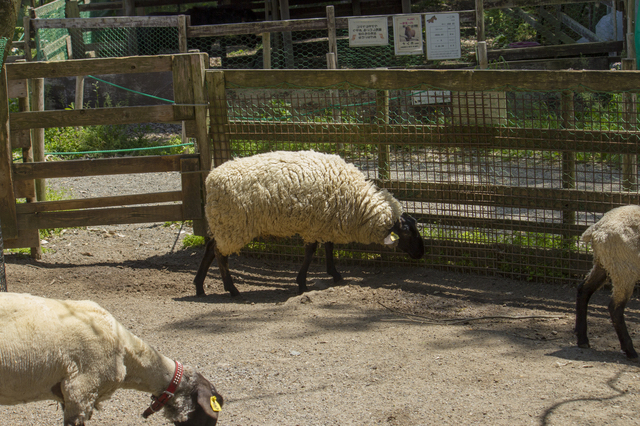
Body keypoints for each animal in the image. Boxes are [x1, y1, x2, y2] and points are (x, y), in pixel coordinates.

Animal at [194, 150, 424, 296]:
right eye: (406, 231)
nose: (421, 253)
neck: (356, 201)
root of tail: (210, 180)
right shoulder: (315, 224)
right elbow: (311, 251)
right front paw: (302, 282)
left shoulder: (327, 221)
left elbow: (329, 247)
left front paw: (335, 274)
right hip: (233, 225)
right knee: (220, 254)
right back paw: (231, 290)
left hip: (222, 224)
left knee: (210, 247)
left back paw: (199, 287)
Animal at [576, 206, 640, 360]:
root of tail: (597, 228)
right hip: (624, 268)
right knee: (615, 307)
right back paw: (630, 351)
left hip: (604, 262)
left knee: (583, 290)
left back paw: (582, 340)